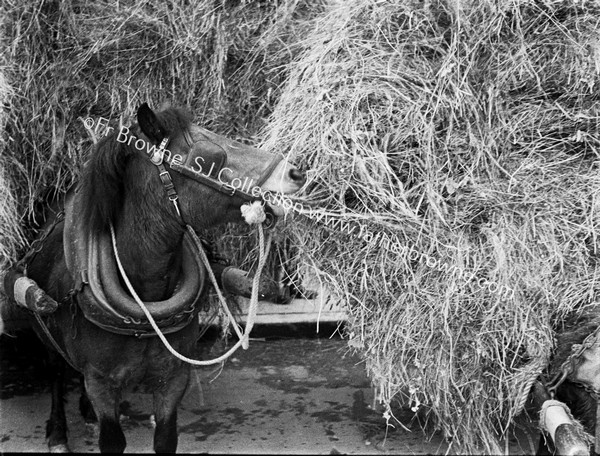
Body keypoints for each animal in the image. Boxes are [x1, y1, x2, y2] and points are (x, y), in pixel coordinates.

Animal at [22, 104, 304, 452]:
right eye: (209, 155)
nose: (295, 173)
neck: (145, 301)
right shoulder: (101, 382)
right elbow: (111, 439)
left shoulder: (173, 377)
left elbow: (167, 437)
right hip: (43, 328)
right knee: (56, 374)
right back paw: (58, 432)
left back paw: (86, 413)